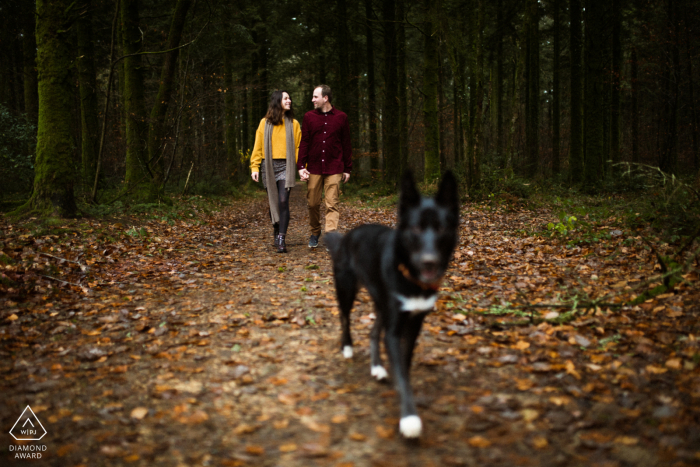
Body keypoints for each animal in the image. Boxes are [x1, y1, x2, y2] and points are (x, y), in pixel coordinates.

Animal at [326, 171, 462, 438]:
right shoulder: (394, 329)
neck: (411, 278)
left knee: (372, 332)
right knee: (344, 317)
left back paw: (377, 368)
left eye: (442, 228)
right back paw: (347, 347)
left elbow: (404, 366)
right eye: (415, 228)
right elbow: (400, 369)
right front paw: (409, 417)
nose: (429, 262)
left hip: (381, 304)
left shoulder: (413, 323)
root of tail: (347, 235)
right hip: (347, 289)